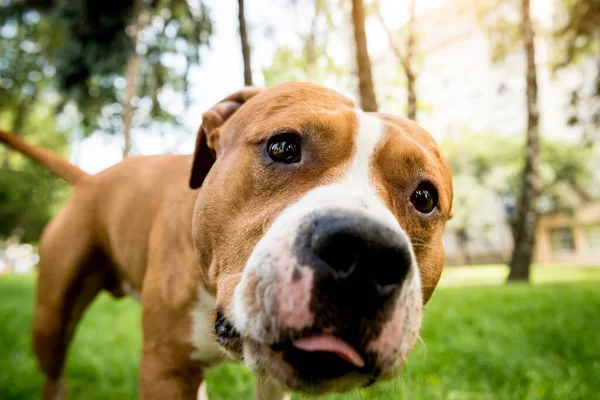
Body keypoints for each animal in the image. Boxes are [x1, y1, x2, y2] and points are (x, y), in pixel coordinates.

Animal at [0, 82, 450, 400]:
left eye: (425, 198)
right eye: (282, 146)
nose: (366, 254)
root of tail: (91, 181)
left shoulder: (271, 382)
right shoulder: (165, 368)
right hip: (51, 320)